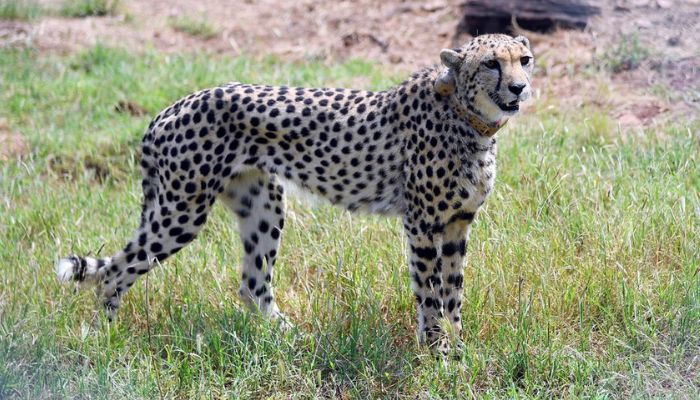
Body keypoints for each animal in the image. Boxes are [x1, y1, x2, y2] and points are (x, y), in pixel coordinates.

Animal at [56, 34, 536, 352]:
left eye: (525, 59)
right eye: (491, 64)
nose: (519, 87)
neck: (470, 118)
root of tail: (171, 108)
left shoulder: (457, 223)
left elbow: (454, 290)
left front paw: (459, 345)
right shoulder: (421, 224)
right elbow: (430, 291)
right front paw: (437, 350)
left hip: (263, 204)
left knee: (252, 284)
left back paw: (288, 338)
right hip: (181, 211)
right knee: (116, 271)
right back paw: (106, 338)